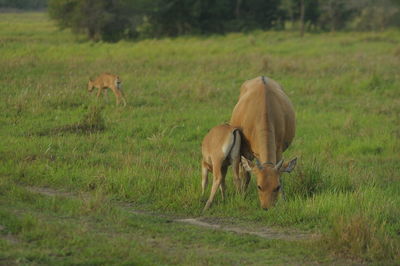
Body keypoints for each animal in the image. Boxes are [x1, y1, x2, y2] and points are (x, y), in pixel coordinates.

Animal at [231, 76, 296, 210]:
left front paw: (283, 200)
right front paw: (243, 196)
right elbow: (246, 174)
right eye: (259, 186)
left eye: (277, 187)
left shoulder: (279, 148)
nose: (267, 207)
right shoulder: (246, 150)